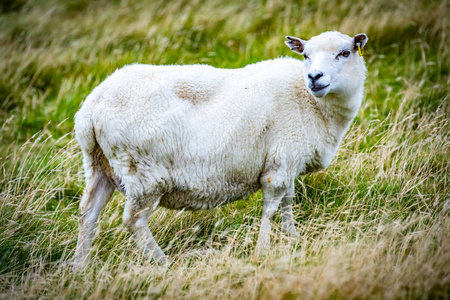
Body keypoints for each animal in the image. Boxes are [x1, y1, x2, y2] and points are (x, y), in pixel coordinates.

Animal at [72, 31, 370, 270]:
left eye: (345, 53)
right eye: (306, 55)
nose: (314, 77)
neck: (311, 102)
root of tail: (92, 108)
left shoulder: (289, 161)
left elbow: (288, 201)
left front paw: (293, 238)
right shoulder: (280, 164)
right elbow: (271, 207)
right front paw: (263, 251)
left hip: (99, 164)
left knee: (88, 213)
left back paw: (80, 267)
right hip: (144, 173)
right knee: (133, 221)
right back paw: (164, 264)